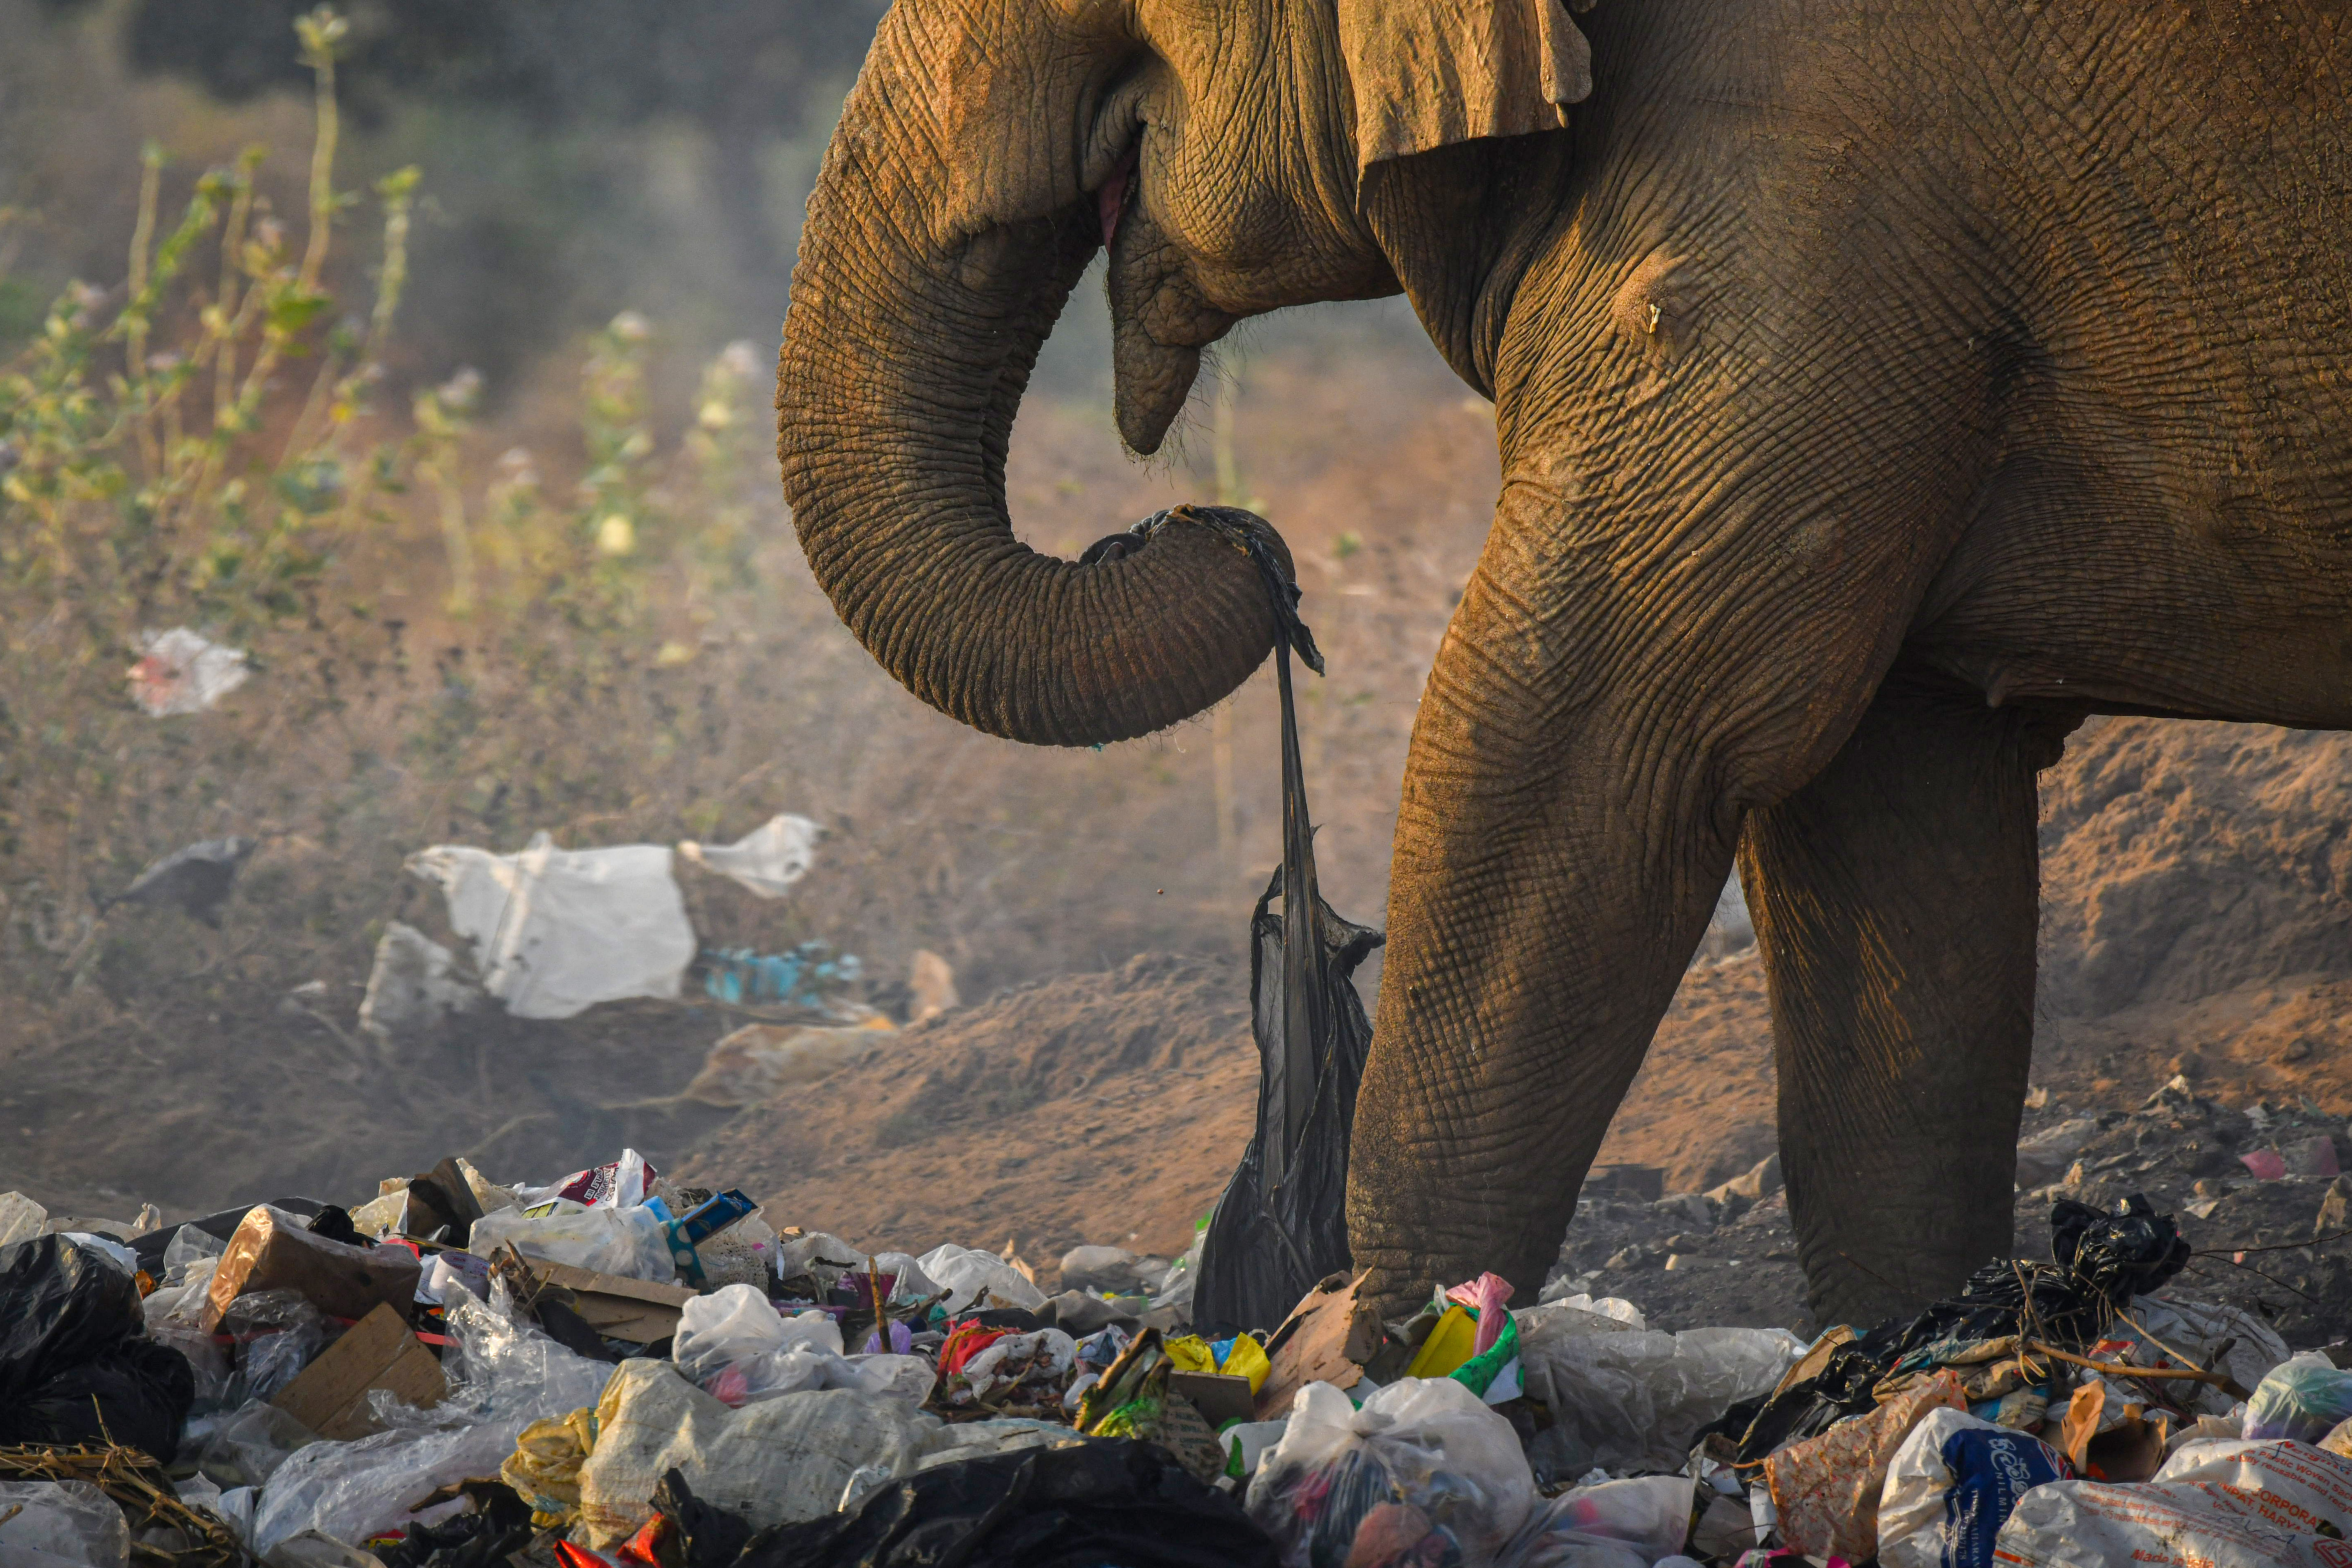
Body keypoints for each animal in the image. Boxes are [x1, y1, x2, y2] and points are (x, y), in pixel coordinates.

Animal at [775, 0, 2352, 1325]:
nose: (1232, 541)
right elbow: (1883, 791)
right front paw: (1903, 1351)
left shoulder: (1789, 205)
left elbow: (1572, 732)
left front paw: (1370, 1364)